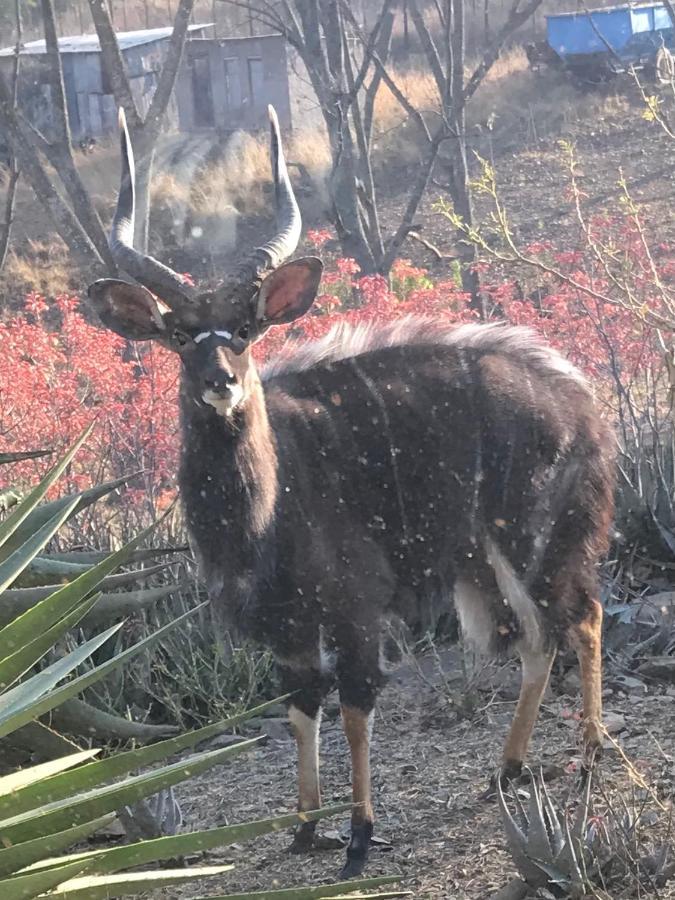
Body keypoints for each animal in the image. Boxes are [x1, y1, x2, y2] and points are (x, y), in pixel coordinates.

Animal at [91, 102, 616, 876]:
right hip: (482, 563)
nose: (221, 382)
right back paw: (508, 767)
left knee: (581, 615)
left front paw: (360, 834)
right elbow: (300, 707)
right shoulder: (287, 629)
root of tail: (579, 397)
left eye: (244, 328)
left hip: (537, 538)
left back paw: (587, 750)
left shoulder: (354, 608)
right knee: (537, 638)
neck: (260, 518)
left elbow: (355, 704)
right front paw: (305, 826)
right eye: (181, 335)